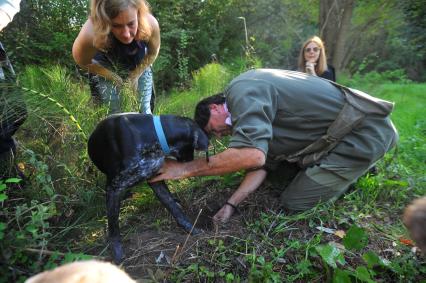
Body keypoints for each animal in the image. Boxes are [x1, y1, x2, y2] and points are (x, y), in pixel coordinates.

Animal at [88, 113, 210, 264]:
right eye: (191, 149)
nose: (190, 162)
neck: (153, 134)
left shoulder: (155, 179)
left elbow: (174, 209)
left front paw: (191, 229)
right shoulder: (113, 188)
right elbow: (113, 226)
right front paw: (117, 253)